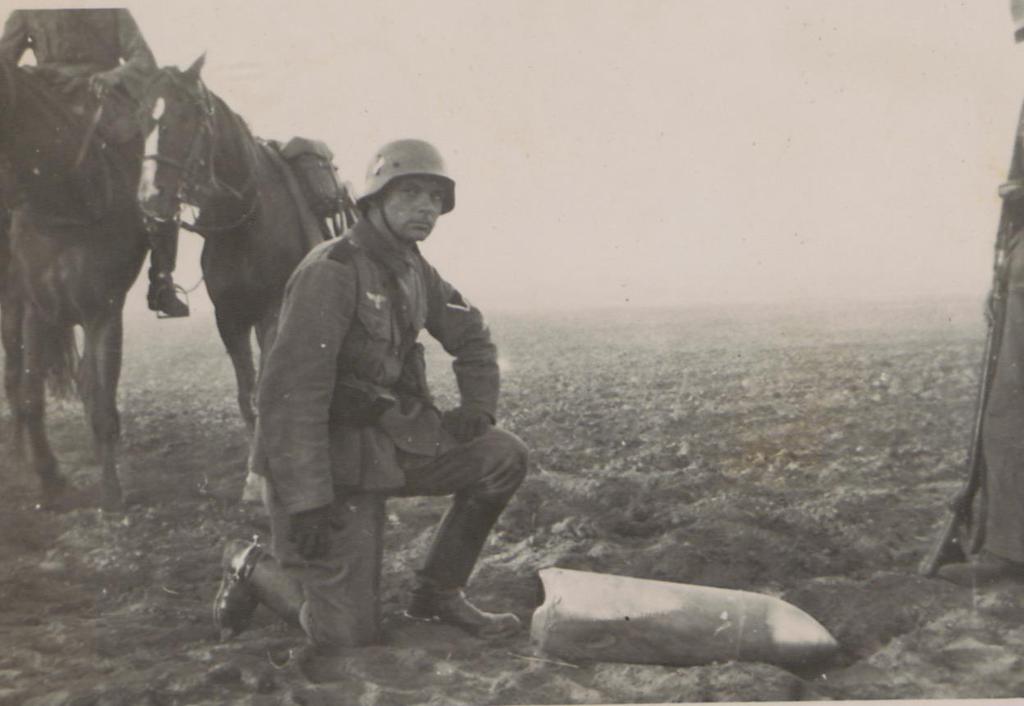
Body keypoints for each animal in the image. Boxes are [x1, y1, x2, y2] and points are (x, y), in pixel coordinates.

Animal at [0, 59, 149, 506]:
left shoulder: (105, 313)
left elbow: (100, 401)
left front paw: (112, 490)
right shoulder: (37, 311)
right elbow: (30, 397)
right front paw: (48, 479)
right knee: (13, 378)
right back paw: (16, 455)